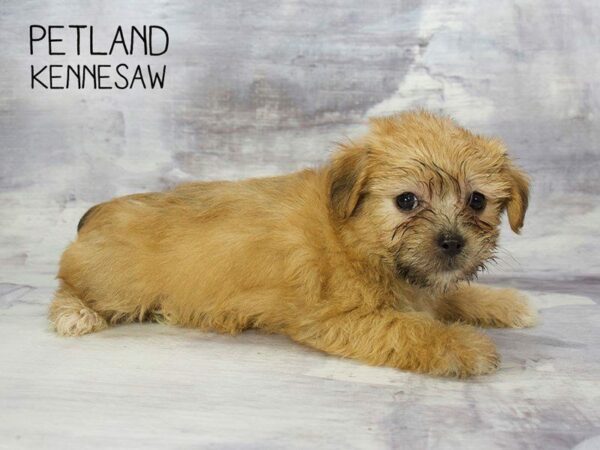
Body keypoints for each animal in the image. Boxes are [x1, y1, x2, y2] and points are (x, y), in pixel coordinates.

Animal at [49, 111, 535, 377]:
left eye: (477, 200)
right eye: (407, 201)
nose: (452, 242)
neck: (355, 238)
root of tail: (99, 213)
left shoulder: (423, 287)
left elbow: (449, 296)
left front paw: (504, 303)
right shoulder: (343, 318)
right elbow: (411, 329)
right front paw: (464, 347)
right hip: (117, 284)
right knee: (68, 286)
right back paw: (75, 315)